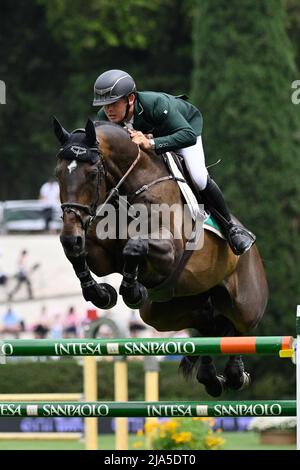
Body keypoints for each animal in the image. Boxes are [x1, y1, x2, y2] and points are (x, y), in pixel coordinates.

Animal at [52, 116, 268, 396]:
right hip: (166, 311)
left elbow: (134, 246)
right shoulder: (102, 256)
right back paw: (210, 376)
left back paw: (235, 374)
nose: (70, 233)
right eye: (58, 174)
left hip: (246, 303)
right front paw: (101, 293)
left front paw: (132, 290)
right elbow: (79, 254)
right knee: (207, 324)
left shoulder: (170, 252)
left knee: (238, 327)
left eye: (92, 173)